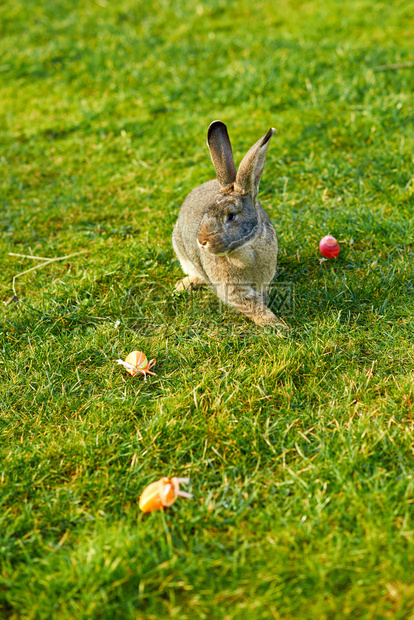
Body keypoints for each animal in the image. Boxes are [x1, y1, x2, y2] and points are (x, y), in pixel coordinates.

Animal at [173, 118, 286, 326]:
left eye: (231, 216)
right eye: (206, 211)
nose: (201, 241)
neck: (245, 249)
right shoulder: (234, 290)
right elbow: (251, 304)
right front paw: (277, 325)